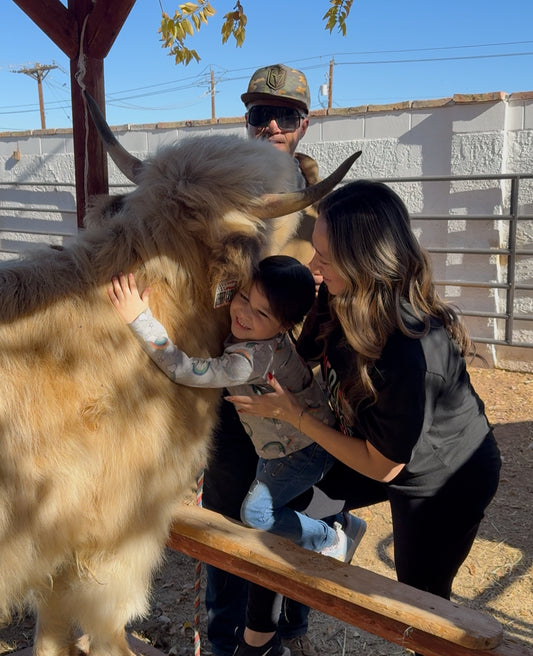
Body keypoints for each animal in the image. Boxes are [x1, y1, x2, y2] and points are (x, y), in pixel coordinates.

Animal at [0, 96, 360, 656]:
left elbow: (52, 635)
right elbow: (108, 635)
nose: (318, 253)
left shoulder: (59, 552)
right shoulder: (119, 540)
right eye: (295, 224)